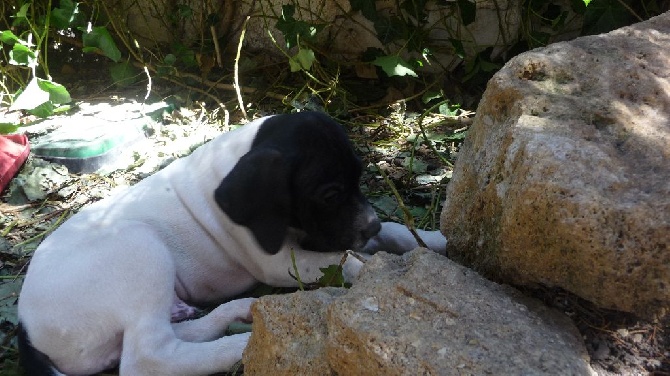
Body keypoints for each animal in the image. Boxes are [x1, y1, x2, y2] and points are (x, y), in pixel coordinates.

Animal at [17, 111, 446, 376]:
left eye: (359, 177)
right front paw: (377, 271)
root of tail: (24, 323)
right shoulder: (280, 261)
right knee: (150, 358)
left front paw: (431, 239)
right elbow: (347, 259)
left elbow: (394, 232)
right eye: (329, 194)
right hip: (139, 248)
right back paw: (243, 346)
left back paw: (236, 314)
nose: (369, 227)